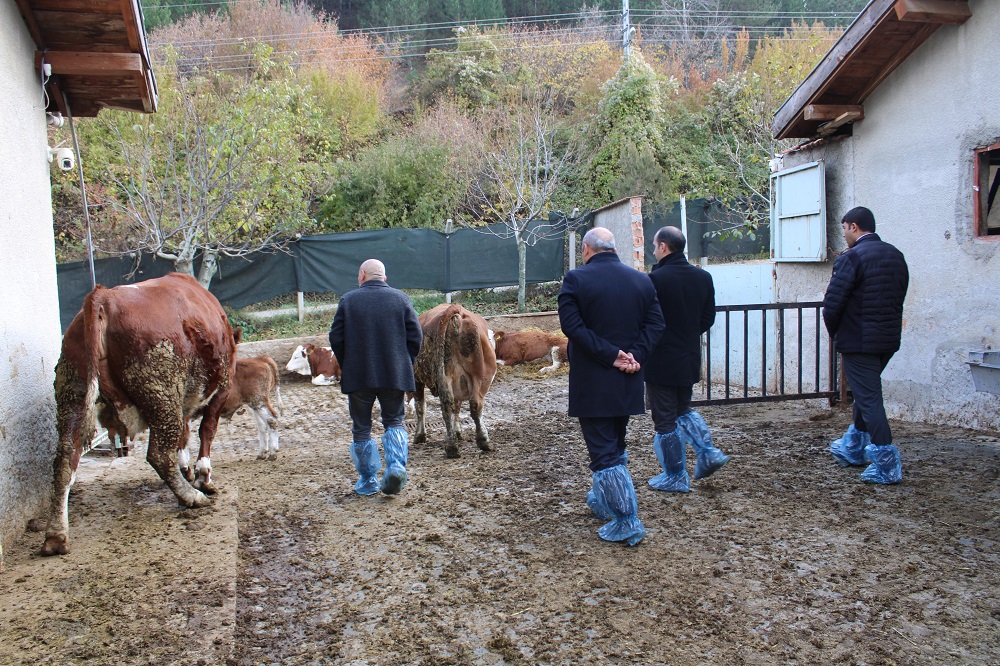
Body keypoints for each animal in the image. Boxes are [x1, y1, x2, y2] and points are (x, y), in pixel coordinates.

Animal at [43, 272, 236, 552]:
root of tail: (105, 296)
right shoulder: (222, 387)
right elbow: (206, 431)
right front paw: (203, 477)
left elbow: (184, 435)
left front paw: (188, 470)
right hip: (161, 394)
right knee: (159, 454)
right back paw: (192, 497)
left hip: (73, 393)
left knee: (65, 460)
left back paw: (56, 535)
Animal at [410, 304, 496, 456]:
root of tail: (456, 309)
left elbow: (454, 406)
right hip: (480, 376)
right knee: (475, 404)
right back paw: (483, 441)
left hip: (442, 374)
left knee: (444, 404)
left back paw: (451, 446)